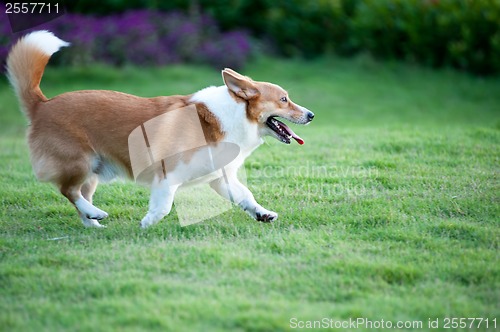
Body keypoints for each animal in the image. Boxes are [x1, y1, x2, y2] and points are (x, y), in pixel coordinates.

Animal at [5, 30, 314, 228]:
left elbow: (245, 196)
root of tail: (42, 104)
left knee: (78, 195)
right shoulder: (168, 173)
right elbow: (164, 204)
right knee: (68, 190)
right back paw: (97, 214)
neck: (231, 115)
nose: (311, 115)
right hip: (79, 162)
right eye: (284, 99)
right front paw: (148, 222)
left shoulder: (220, 177)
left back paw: (93, 222)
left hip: (92, 171)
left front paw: (264, 214)